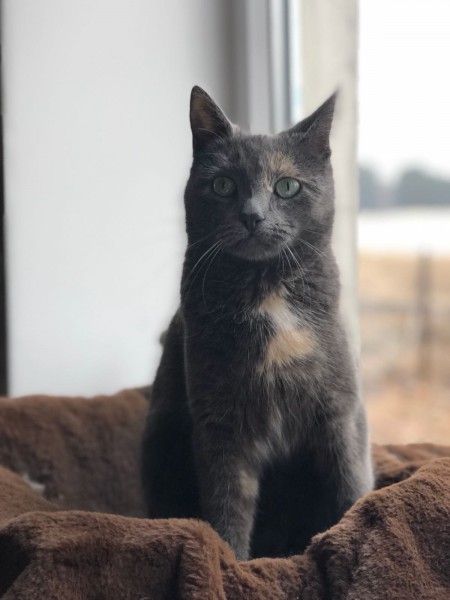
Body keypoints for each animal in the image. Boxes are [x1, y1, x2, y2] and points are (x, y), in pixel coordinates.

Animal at [141, 86, 373, 561]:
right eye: (223, 185)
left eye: (287, 186)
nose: (252, 216)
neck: (265, 291)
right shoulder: (220, 424)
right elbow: (227, 501)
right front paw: (233, 561)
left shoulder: (340, 409)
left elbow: (348, 483)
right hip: (161, 437)